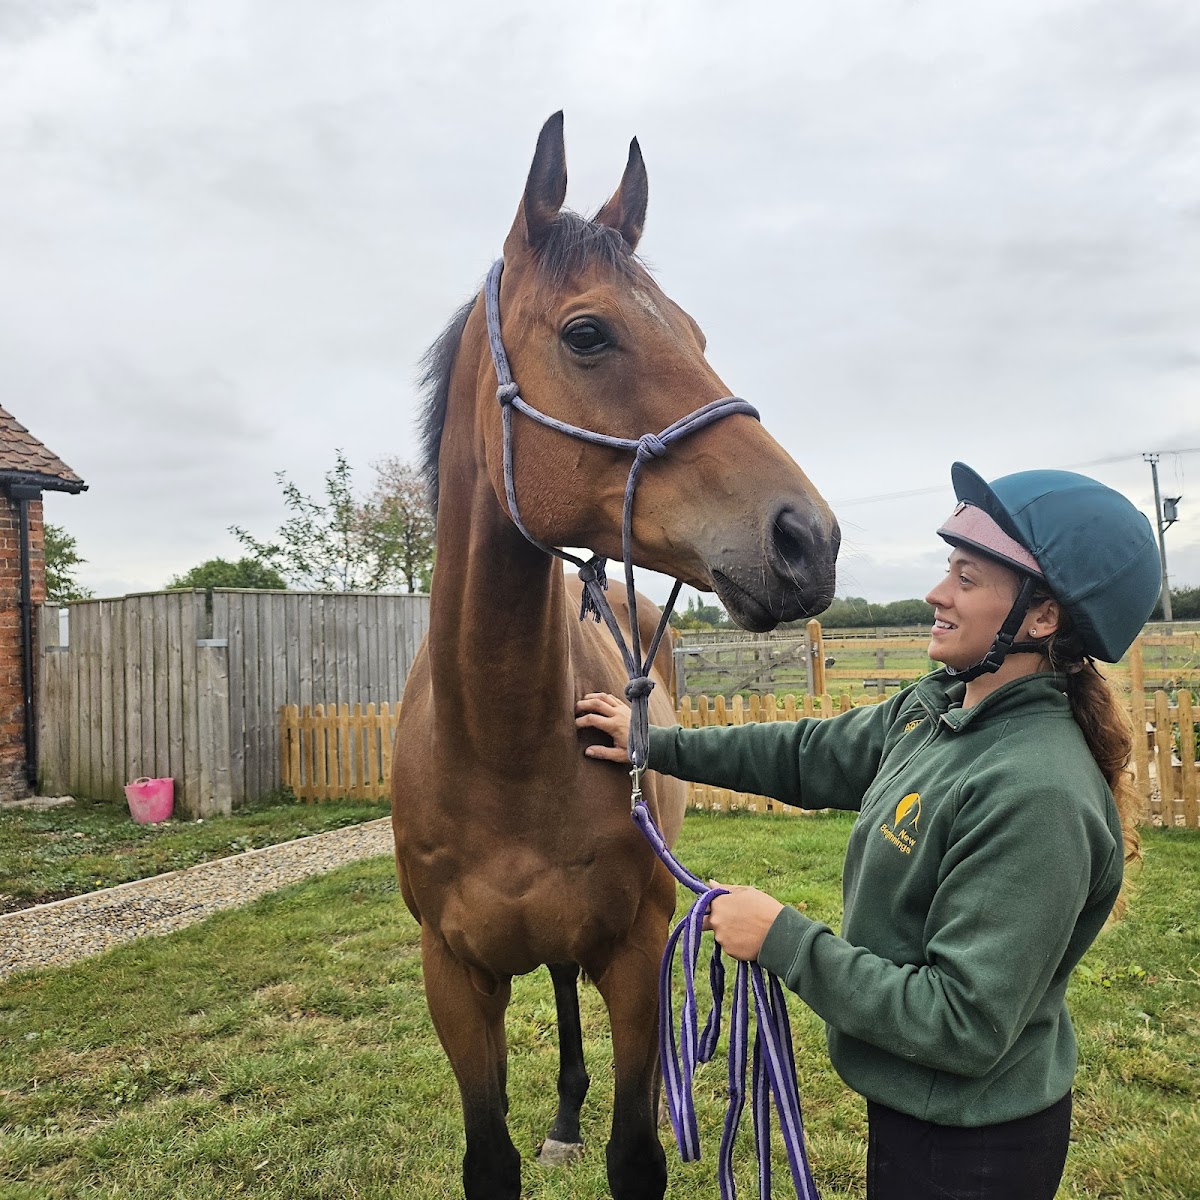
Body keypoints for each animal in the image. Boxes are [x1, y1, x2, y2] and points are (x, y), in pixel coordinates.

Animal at [391, 112, 840, 1200]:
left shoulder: (638, 956)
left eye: (698, 335)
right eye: (588, 333)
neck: (500, 743)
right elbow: (490, 1159)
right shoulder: (454, 981)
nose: (808, 538)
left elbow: (637, 1153)